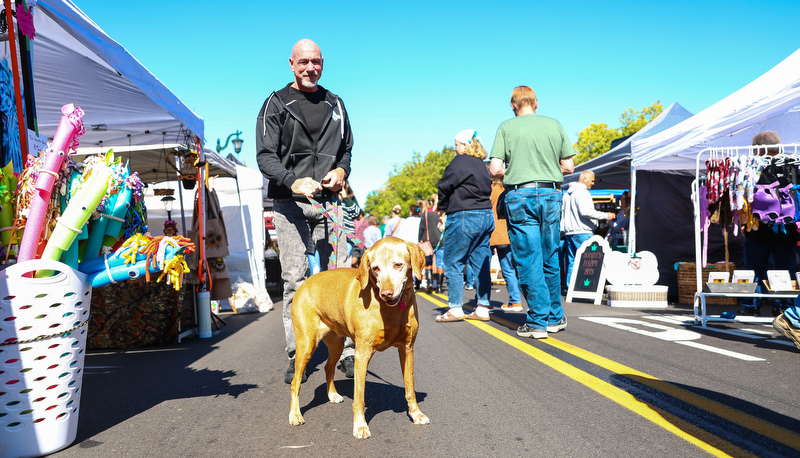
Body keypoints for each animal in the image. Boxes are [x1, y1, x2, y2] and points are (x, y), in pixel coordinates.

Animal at [290, 238, 432, 438]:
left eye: (398, 265)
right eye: (375, 268)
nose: (386, 293)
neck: (390, 310)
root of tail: (306, 281)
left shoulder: (407, 349)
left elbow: (410, 388)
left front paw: (416, 414)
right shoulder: (362, 354)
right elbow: (359, 396)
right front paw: (360, 426)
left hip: (336, 344)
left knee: (328, 368)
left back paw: (332, 395)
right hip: (306, 344)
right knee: (295, 382)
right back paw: (295, 414)